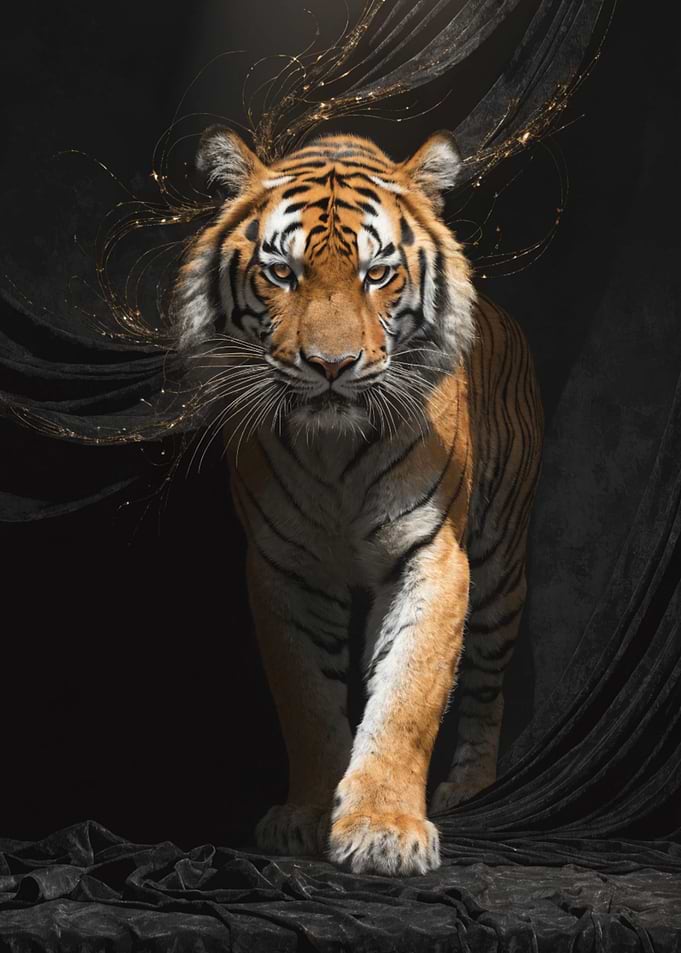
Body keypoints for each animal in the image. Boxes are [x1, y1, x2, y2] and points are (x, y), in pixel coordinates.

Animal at [173, 128, 544, 876]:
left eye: (377, 274)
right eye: (281, 273)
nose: (331, 366)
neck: (333, 450)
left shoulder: (433, 553)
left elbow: (407, 695)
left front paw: (384, 829)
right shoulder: (282, 566)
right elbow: (308, 702)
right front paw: (310, 816)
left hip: (499, 568)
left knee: (486, 685)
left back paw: (471, 787)